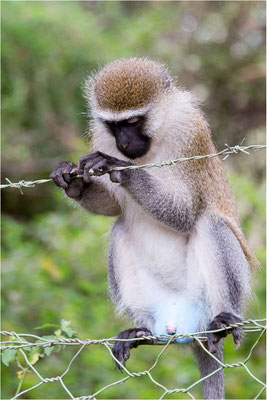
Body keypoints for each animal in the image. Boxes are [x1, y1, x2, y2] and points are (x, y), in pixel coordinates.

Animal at [50, 57, 255, 398]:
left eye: (134, 121)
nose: (123, 143)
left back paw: (224, 321)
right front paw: (72, 180)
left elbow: (186, 212)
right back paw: (140, 333)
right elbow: (113, 208)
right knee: (120, 229)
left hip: (205, 298)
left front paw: (119, 167)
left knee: (210, 223)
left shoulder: (190, 132)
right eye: (114, 125)